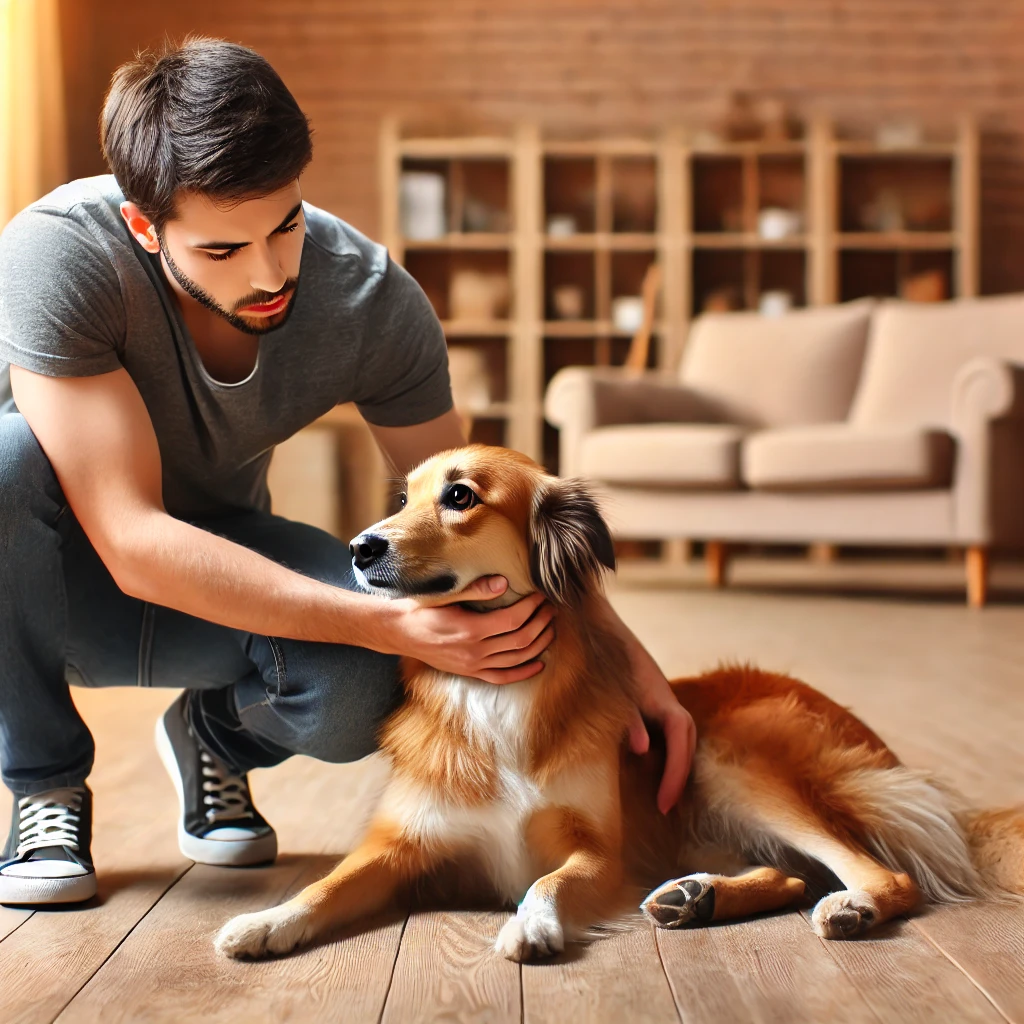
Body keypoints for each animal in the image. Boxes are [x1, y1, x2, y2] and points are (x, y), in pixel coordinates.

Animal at [214, 446, 1024, 958]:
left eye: (460, 496)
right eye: (405, 498)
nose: (359, 548)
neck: (491, 692)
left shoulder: (600, 852)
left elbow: (548, 880)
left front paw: (533, 927)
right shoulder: (400, 845)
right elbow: (329, 883)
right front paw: (266, 921)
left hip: (729, 754)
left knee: (878, 874)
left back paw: (846, 906)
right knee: (792, 874)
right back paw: (696, 898)